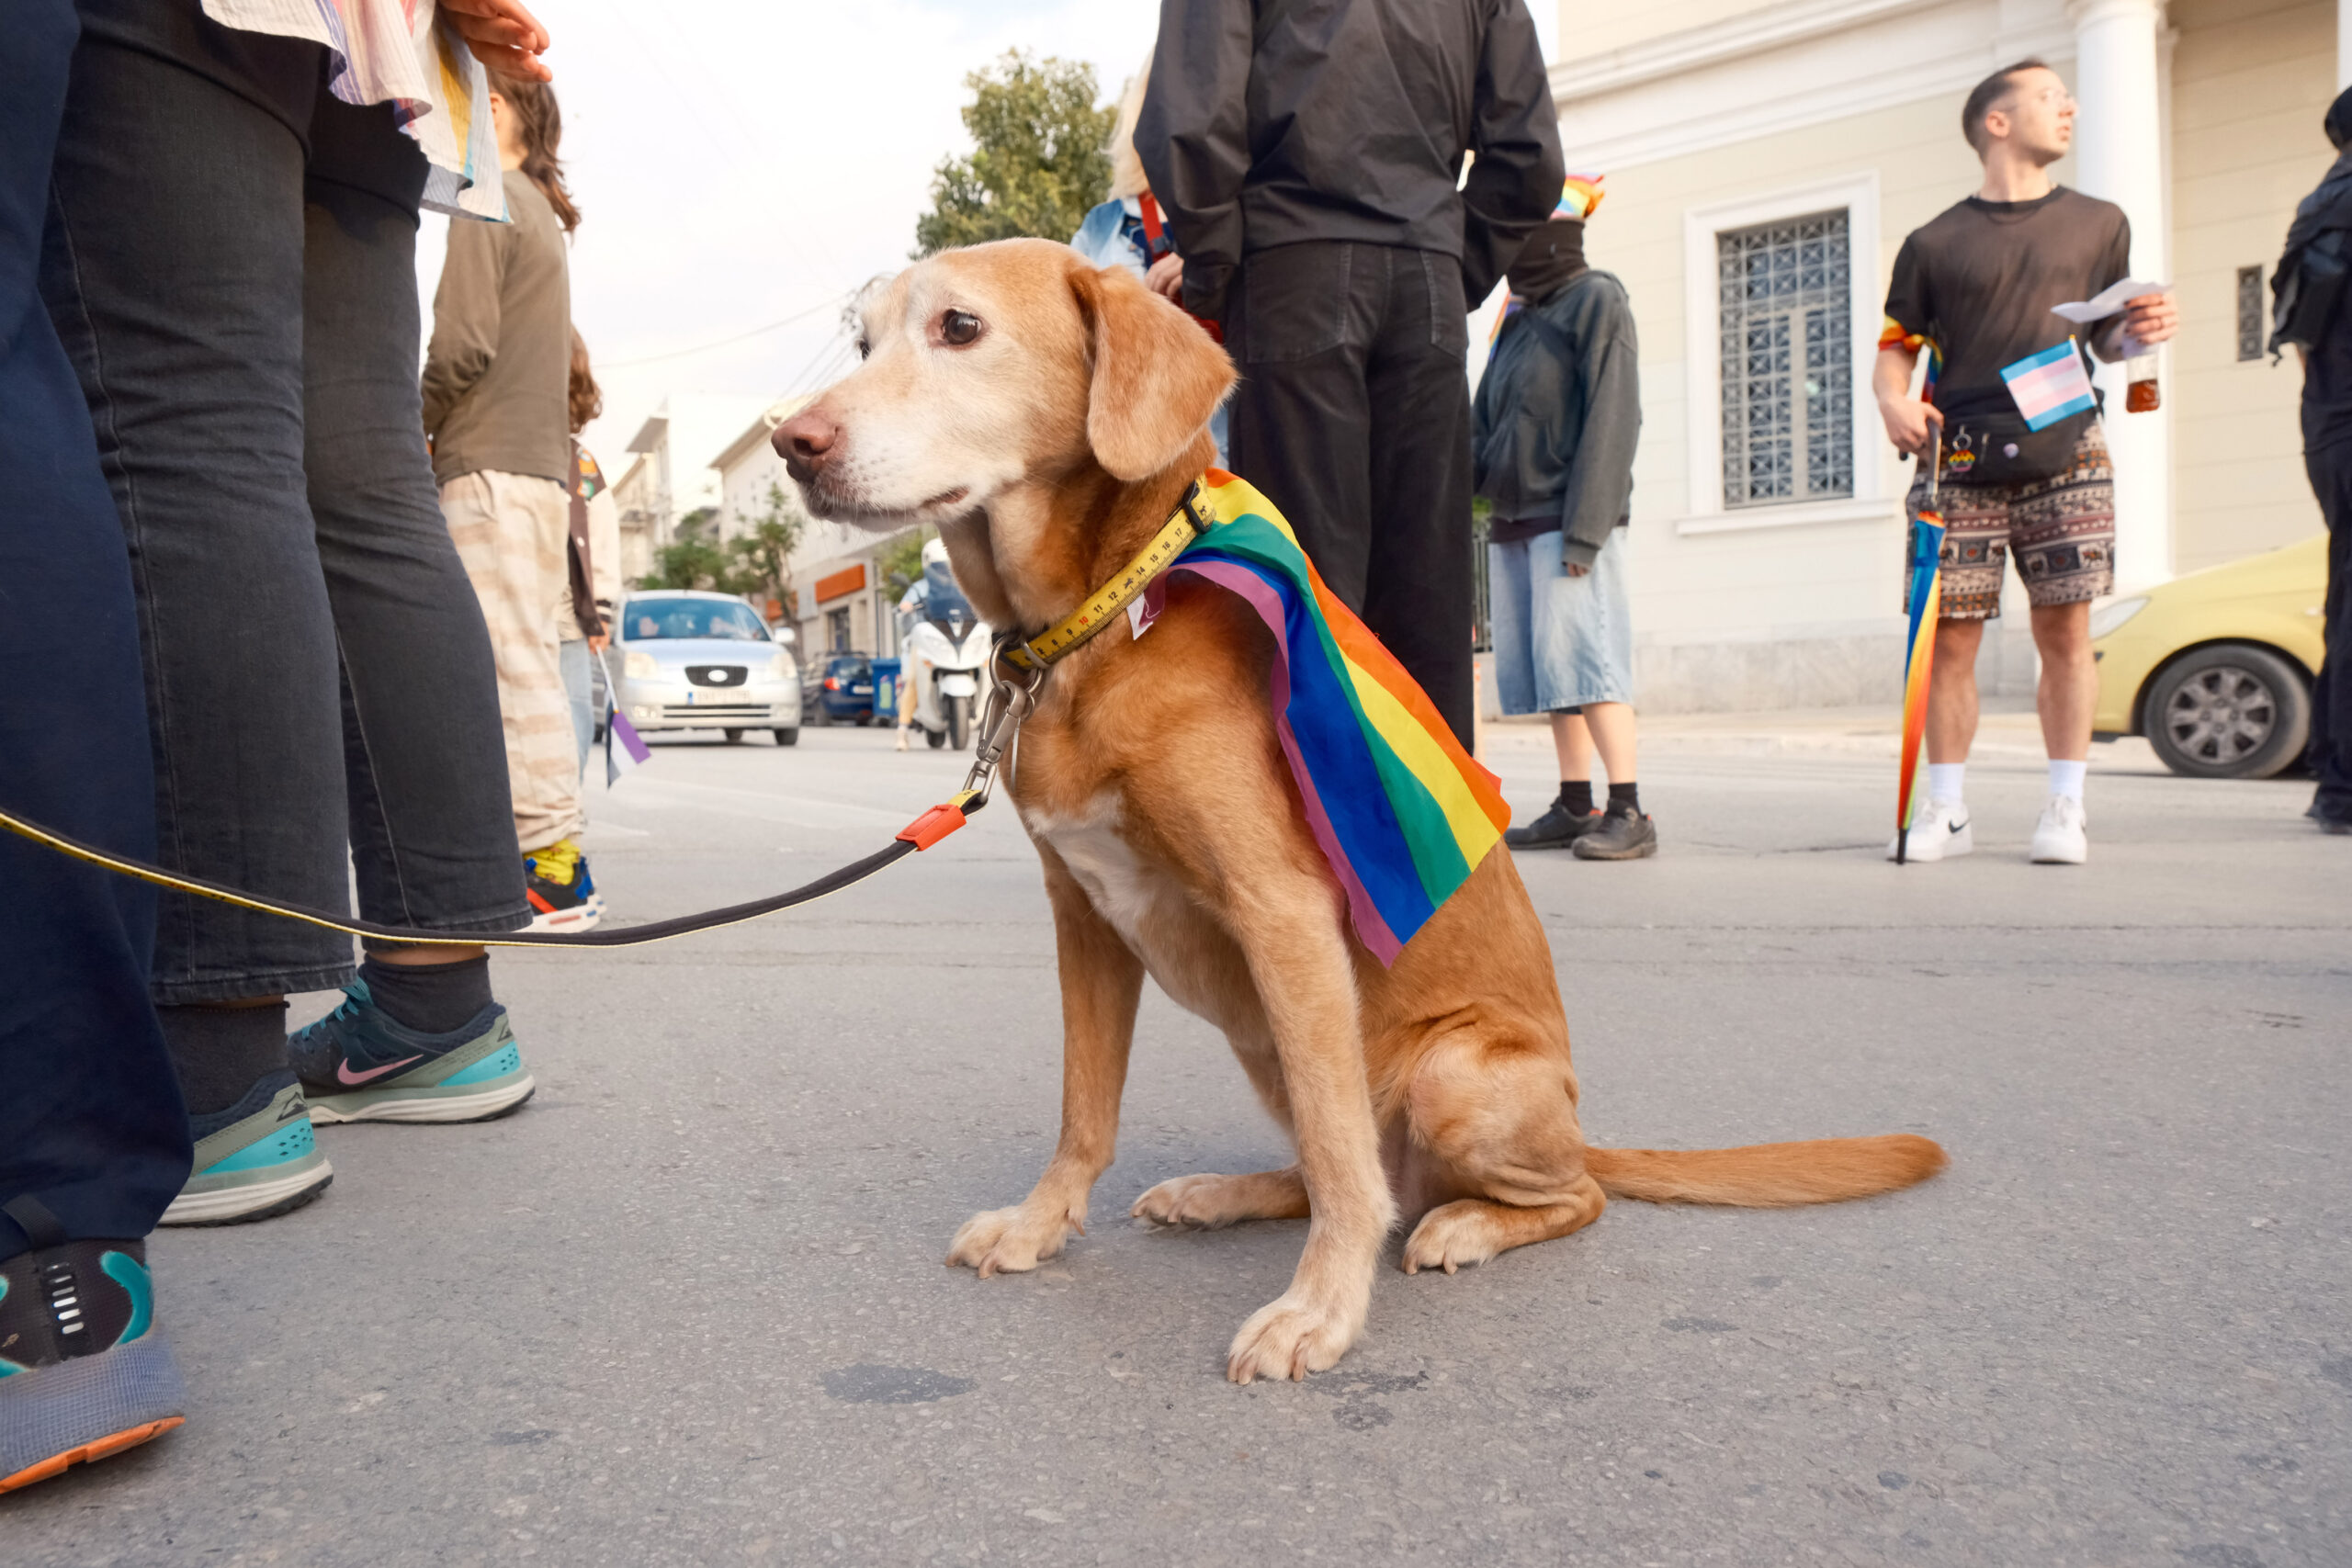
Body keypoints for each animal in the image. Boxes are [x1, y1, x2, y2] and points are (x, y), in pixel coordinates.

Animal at [776, 239, 1945, 1384]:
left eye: (959, 327)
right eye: (863, 341)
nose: (793, 444)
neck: (1109, 610)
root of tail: (1577, 1128)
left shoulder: (1281, 912)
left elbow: (1340, 1163)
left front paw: (1320, 1311)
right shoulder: (1083, 918)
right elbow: (1085, 1109)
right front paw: (1040, 1225)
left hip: (1446, 1072)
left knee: (1529, 1194)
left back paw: (1461, 1223)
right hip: (1266, 1042)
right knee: (1343, 1166)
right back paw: (1225, 1194)